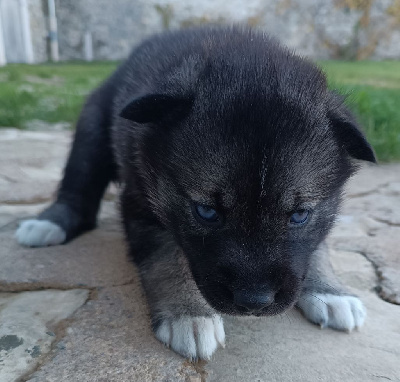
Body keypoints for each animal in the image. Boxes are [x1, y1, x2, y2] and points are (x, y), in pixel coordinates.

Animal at [17, 26, 376, 362]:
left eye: (300, 214)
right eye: (206, 212)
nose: (254, 302)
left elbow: (318, 246)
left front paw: (330, 291)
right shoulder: (142, 201)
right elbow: (165, 257)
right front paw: (188, 315)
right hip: (92, 127)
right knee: (78, 184)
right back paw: (49, 224)